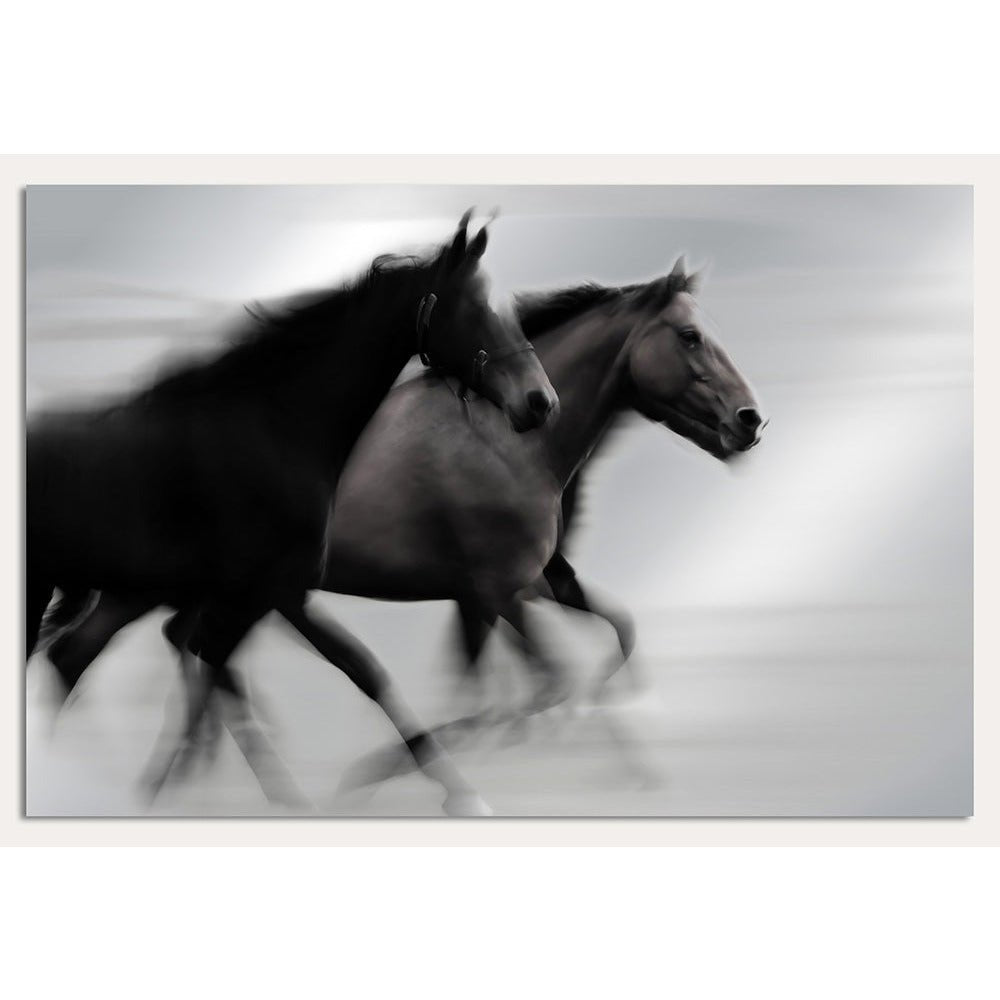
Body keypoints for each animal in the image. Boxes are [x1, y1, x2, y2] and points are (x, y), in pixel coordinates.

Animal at [27, 210, 558, 815]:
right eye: (471, 306)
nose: (540, 402)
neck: (275, 430)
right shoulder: (266, 594)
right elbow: (339, 671)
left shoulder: (270, 596)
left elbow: (335, 671)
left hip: (129, 593)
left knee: (69, 659)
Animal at [40, 258, 764, 804]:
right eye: (690, 336)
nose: (750, 420)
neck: (510, 442)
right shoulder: (498, 591)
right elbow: (530, 686)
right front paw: (396, 774)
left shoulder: (519, 586)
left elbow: (605, 640)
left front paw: (635, 757)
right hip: (191, 588)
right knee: (145, 653)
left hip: (192, 591)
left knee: (167, 651)